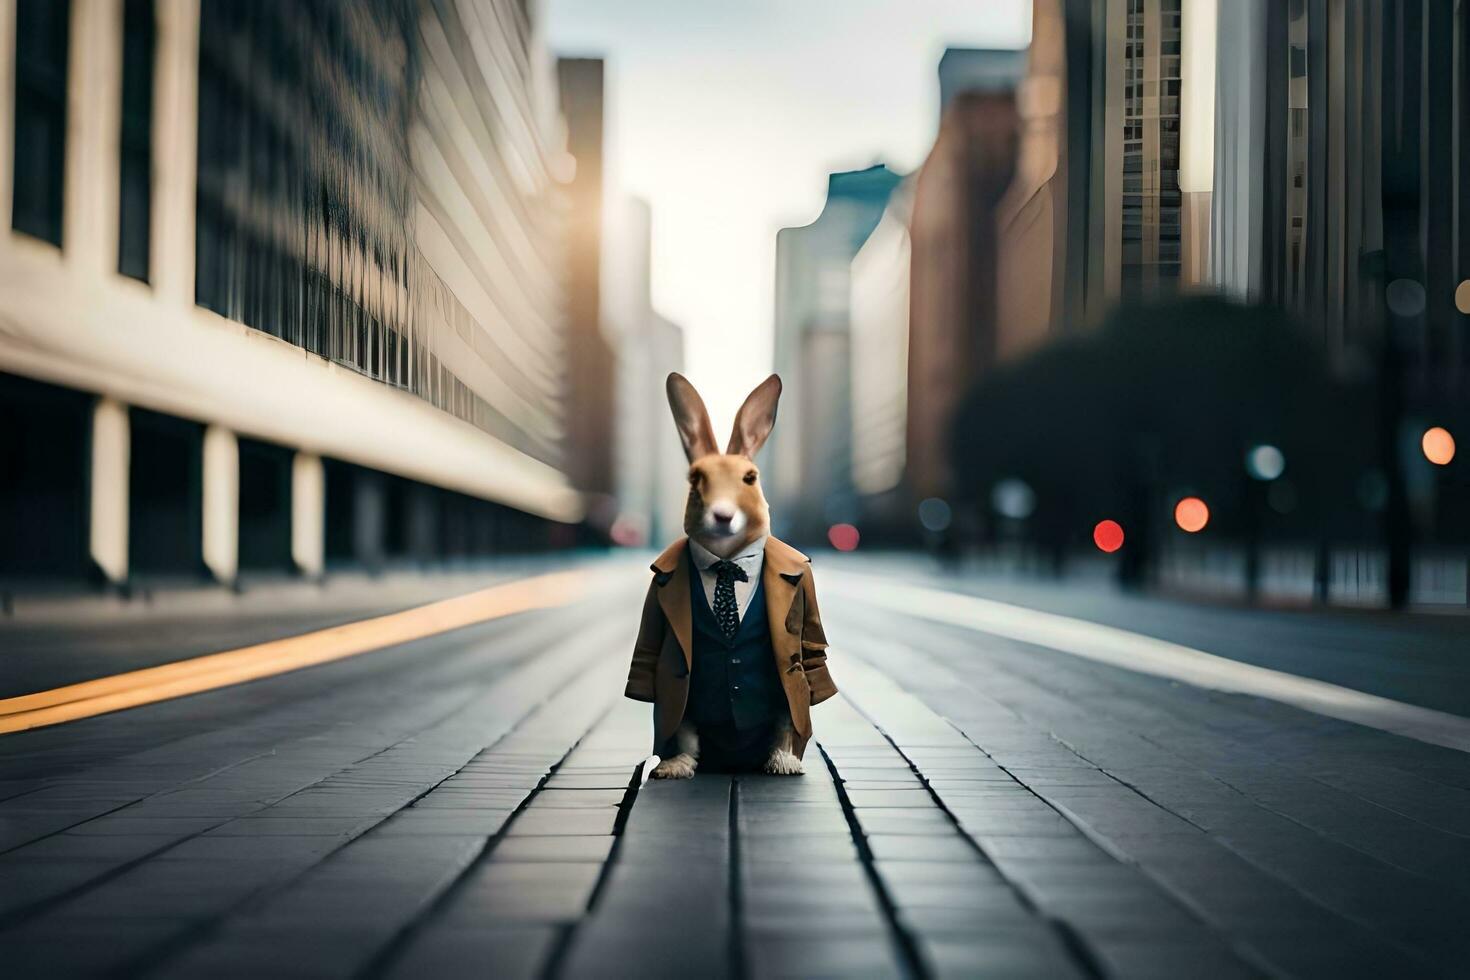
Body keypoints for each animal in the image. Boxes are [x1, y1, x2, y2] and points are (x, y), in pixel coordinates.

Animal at [626, 376, 840, 781]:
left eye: (750, 478)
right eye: (695, 478)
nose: (722, 515)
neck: (726, 561)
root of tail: (732, 762)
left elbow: (810, 648)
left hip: (786, 696)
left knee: (785, 720)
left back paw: (783, 762)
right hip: (687, 709)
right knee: (687, 735)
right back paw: (675, 766)